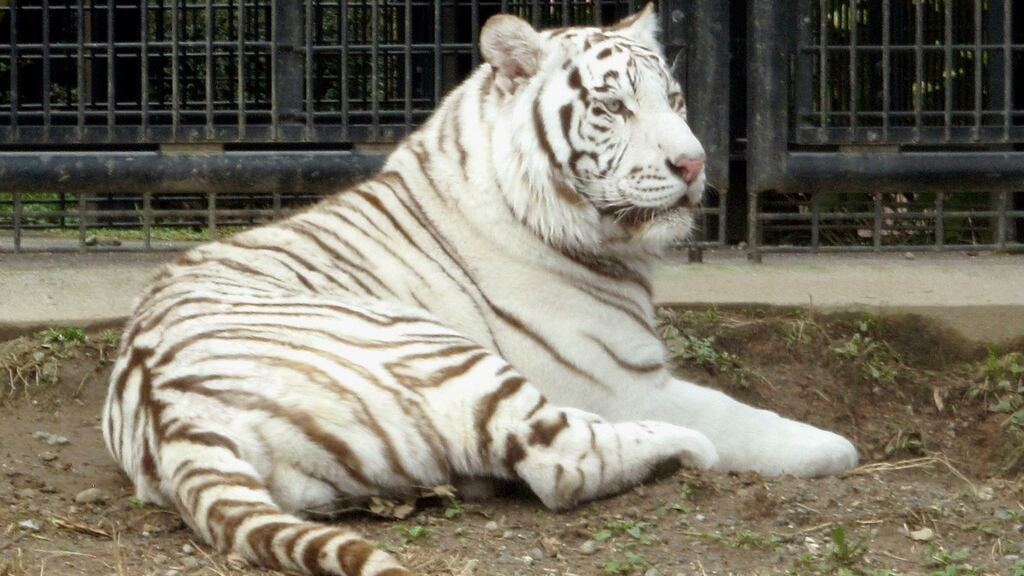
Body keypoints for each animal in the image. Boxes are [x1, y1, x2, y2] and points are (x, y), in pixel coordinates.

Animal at [102, 5, 858, 575]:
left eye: (672, 99)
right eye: (613, 106)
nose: (695, 163)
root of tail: (170, 414)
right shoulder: (623, 383)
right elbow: (740, 417)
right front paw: (835, 447)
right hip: (444, 353)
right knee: (564, 462)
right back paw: (681, 447)